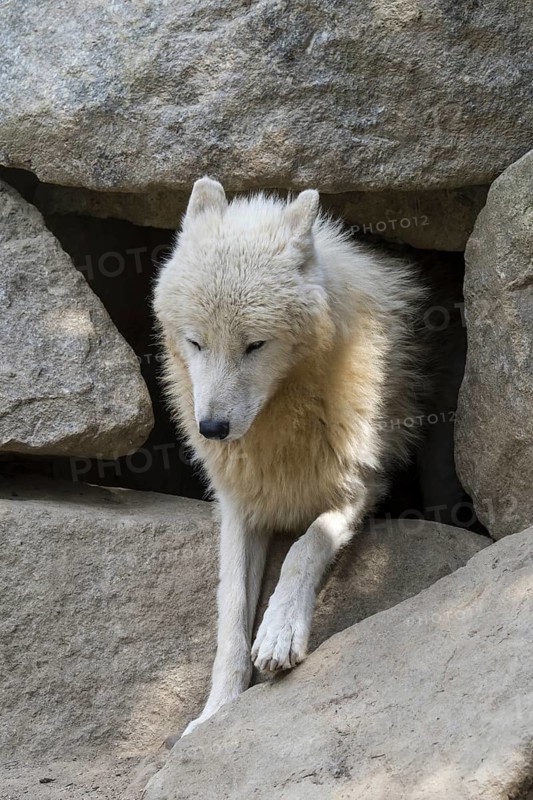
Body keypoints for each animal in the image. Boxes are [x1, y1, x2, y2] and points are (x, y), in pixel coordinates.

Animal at [153, 177, 425, 737]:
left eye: (255, 345)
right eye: (196, 342)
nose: (212, 429)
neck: (281, 430)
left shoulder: (360, 486)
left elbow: (305, 545)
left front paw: (279, 633)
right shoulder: (239, 506)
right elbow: (230, 615)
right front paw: (215, 713)